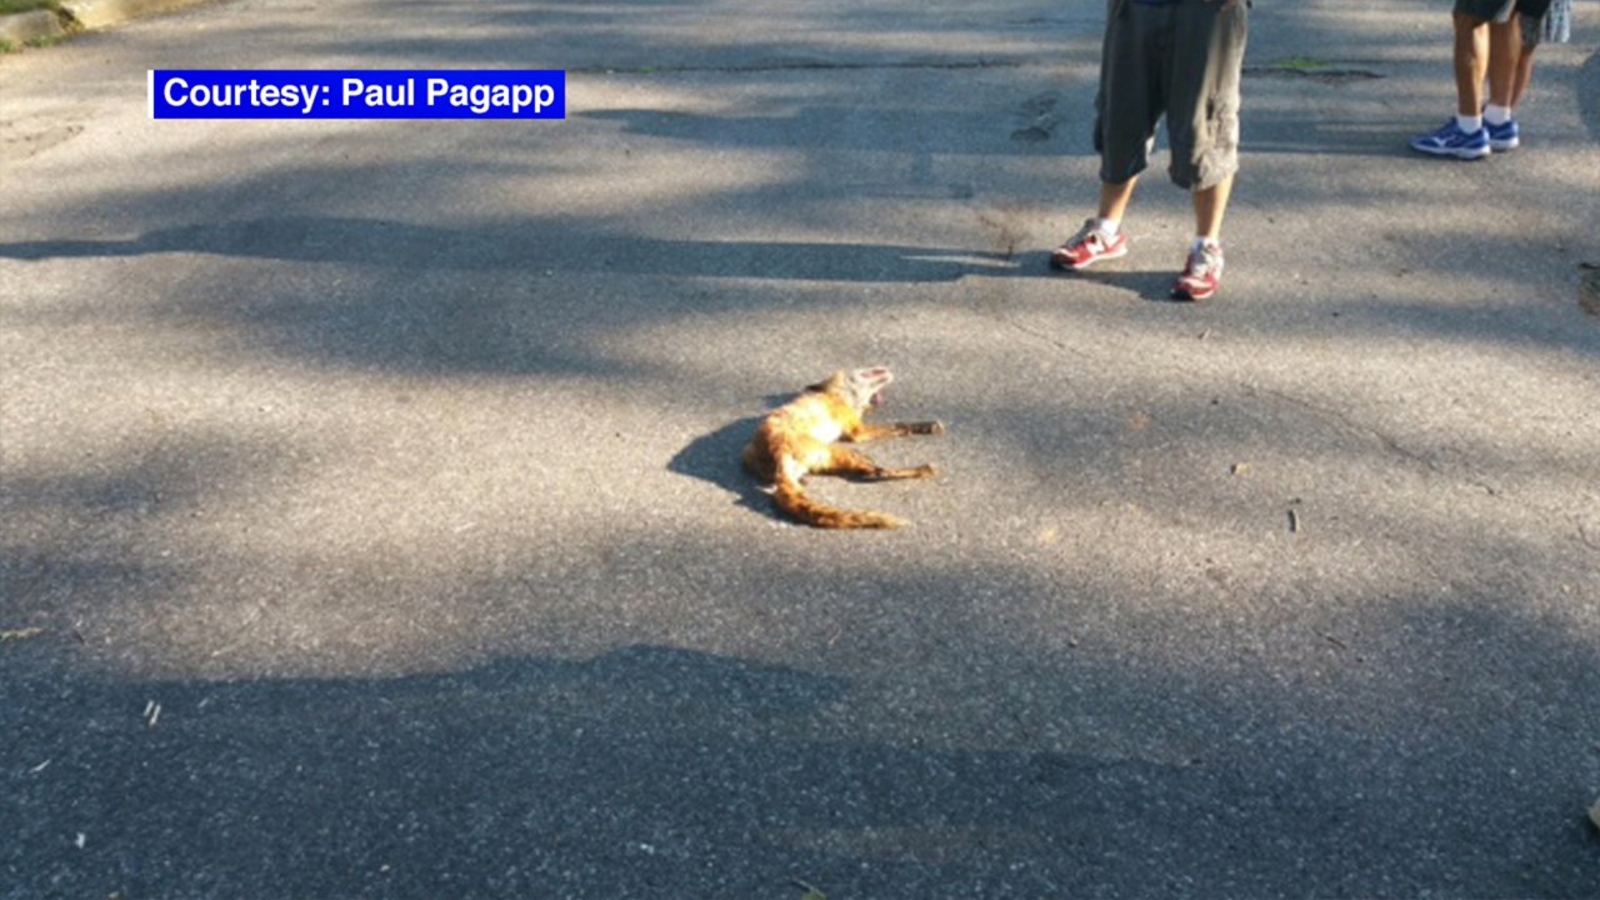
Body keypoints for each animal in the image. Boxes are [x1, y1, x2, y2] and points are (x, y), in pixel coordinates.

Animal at [742, 366, 944, 529]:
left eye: (871, 402)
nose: (877, 402)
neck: (838, 397)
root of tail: (776, 451)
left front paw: (927, 427)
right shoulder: (858, 432)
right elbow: (900, 426)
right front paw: (926, 426)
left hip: (753, 454)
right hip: (844, 452)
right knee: (878, 472)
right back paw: (923, 470)